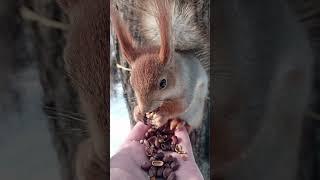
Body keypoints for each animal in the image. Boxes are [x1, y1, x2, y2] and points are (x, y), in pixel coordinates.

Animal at [111, 0, 209, 129]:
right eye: (132, 83)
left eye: (163, 83)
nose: (145, 109)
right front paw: (137, 112)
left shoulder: (188, 85)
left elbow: (180, 105)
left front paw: (160, 115)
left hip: (195, 113)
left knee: (190, 123)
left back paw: (178, 123)